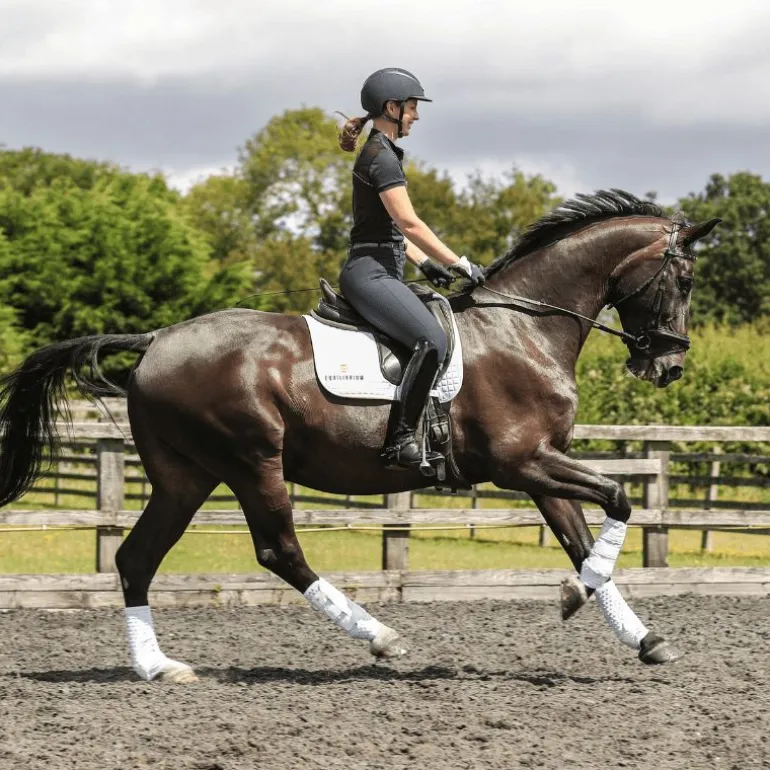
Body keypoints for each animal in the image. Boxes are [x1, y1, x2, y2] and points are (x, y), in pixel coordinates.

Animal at [0, 189, 720, 682]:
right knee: (279, 552)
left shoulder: (542, 465)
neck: (525, 327)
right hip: (252, 460)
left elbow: (581, 537)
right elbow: (619, 502)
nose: (669, 366)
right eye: (684, 279)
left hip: (185, 477)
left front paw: (641, 636)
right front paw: (574, 596)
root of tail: (155, 341)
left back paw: (158, 666)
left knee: (135, 559)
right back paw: (380, 636)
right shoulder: (521, 463)